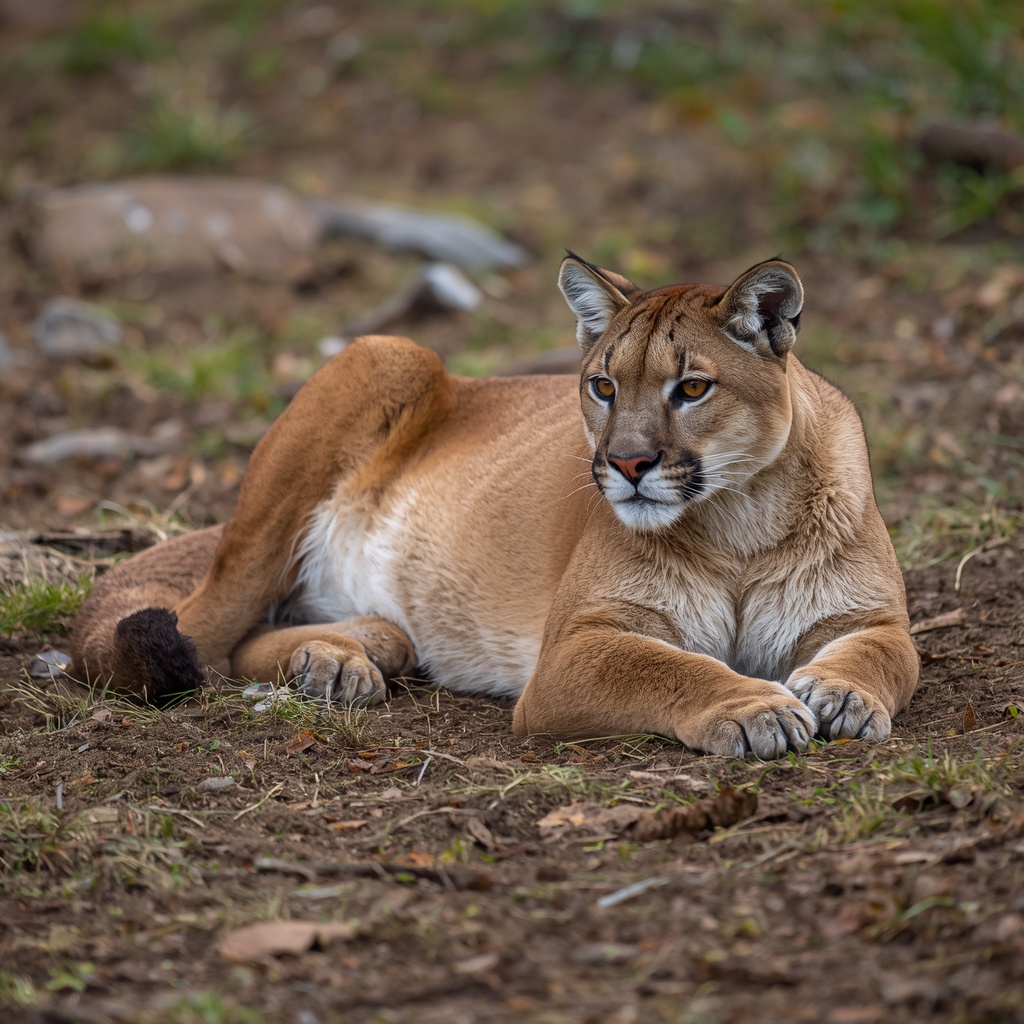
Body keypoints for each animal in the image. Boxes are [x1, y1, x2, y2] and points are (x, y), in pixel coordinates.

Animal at [69, 255, 919, 758]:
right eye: (602, 384)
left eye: (693, 386)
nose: (627, 464)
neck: (741, 521)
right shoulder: (578, 646)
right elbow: (673, 668)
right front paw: (756, 709)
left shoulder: (868, 617)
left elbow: (885, 656)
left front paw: (842, 697)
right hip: (388, 354)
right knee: (203, 637)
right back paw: (336, 661)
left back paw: (353, 651)